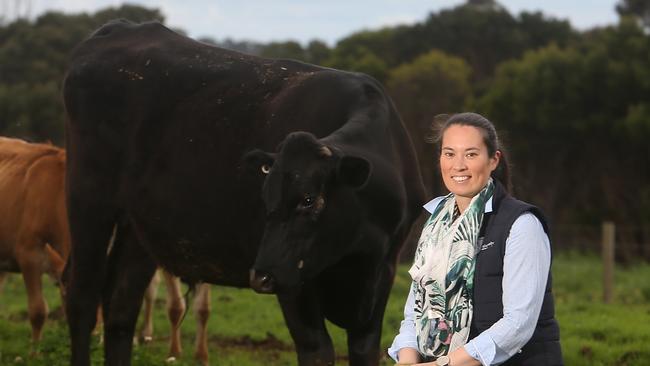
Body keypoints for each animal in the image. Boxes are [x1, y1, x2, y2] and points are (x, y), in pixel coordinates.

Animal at [62, 20, 426, 366]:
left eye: (309, 200)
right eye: (265, 201)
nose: (261, 276)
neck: (356, 251)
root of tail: (120, 28)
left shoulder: (381, 274)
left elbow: (365, 350)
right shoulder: (294, 278)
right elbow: (317, 349)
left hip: (139, 227)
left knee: (120, 307)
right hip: (88, 199)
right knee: (82, 295)